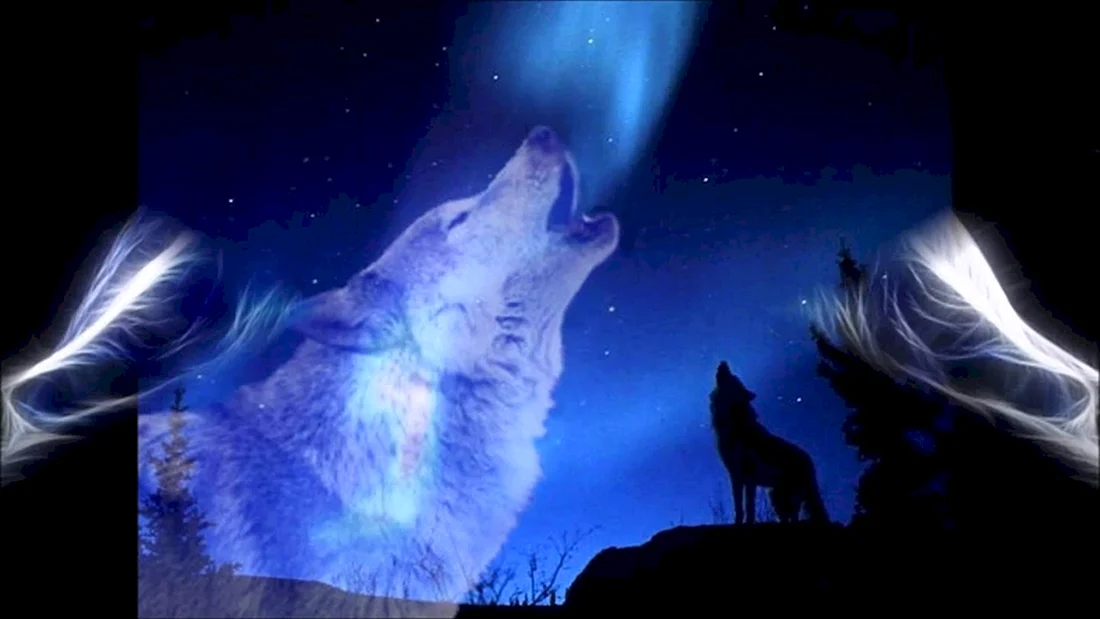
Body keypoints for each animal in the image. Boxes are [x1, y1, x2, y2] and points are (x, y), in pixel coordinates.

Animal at [709, 361, 830, 525]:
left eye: (733, 378)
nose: (723, 362)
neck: (736, 422)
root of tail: (809, 460)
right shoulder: (736, 477)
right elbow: (739, 507)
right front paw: (739, 523)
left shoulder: (749, 478)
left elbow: (748, 507)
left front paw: (748, 523)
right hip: (777, 497)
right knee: (787, 517)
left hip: (789, 496)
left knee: (794, 515)